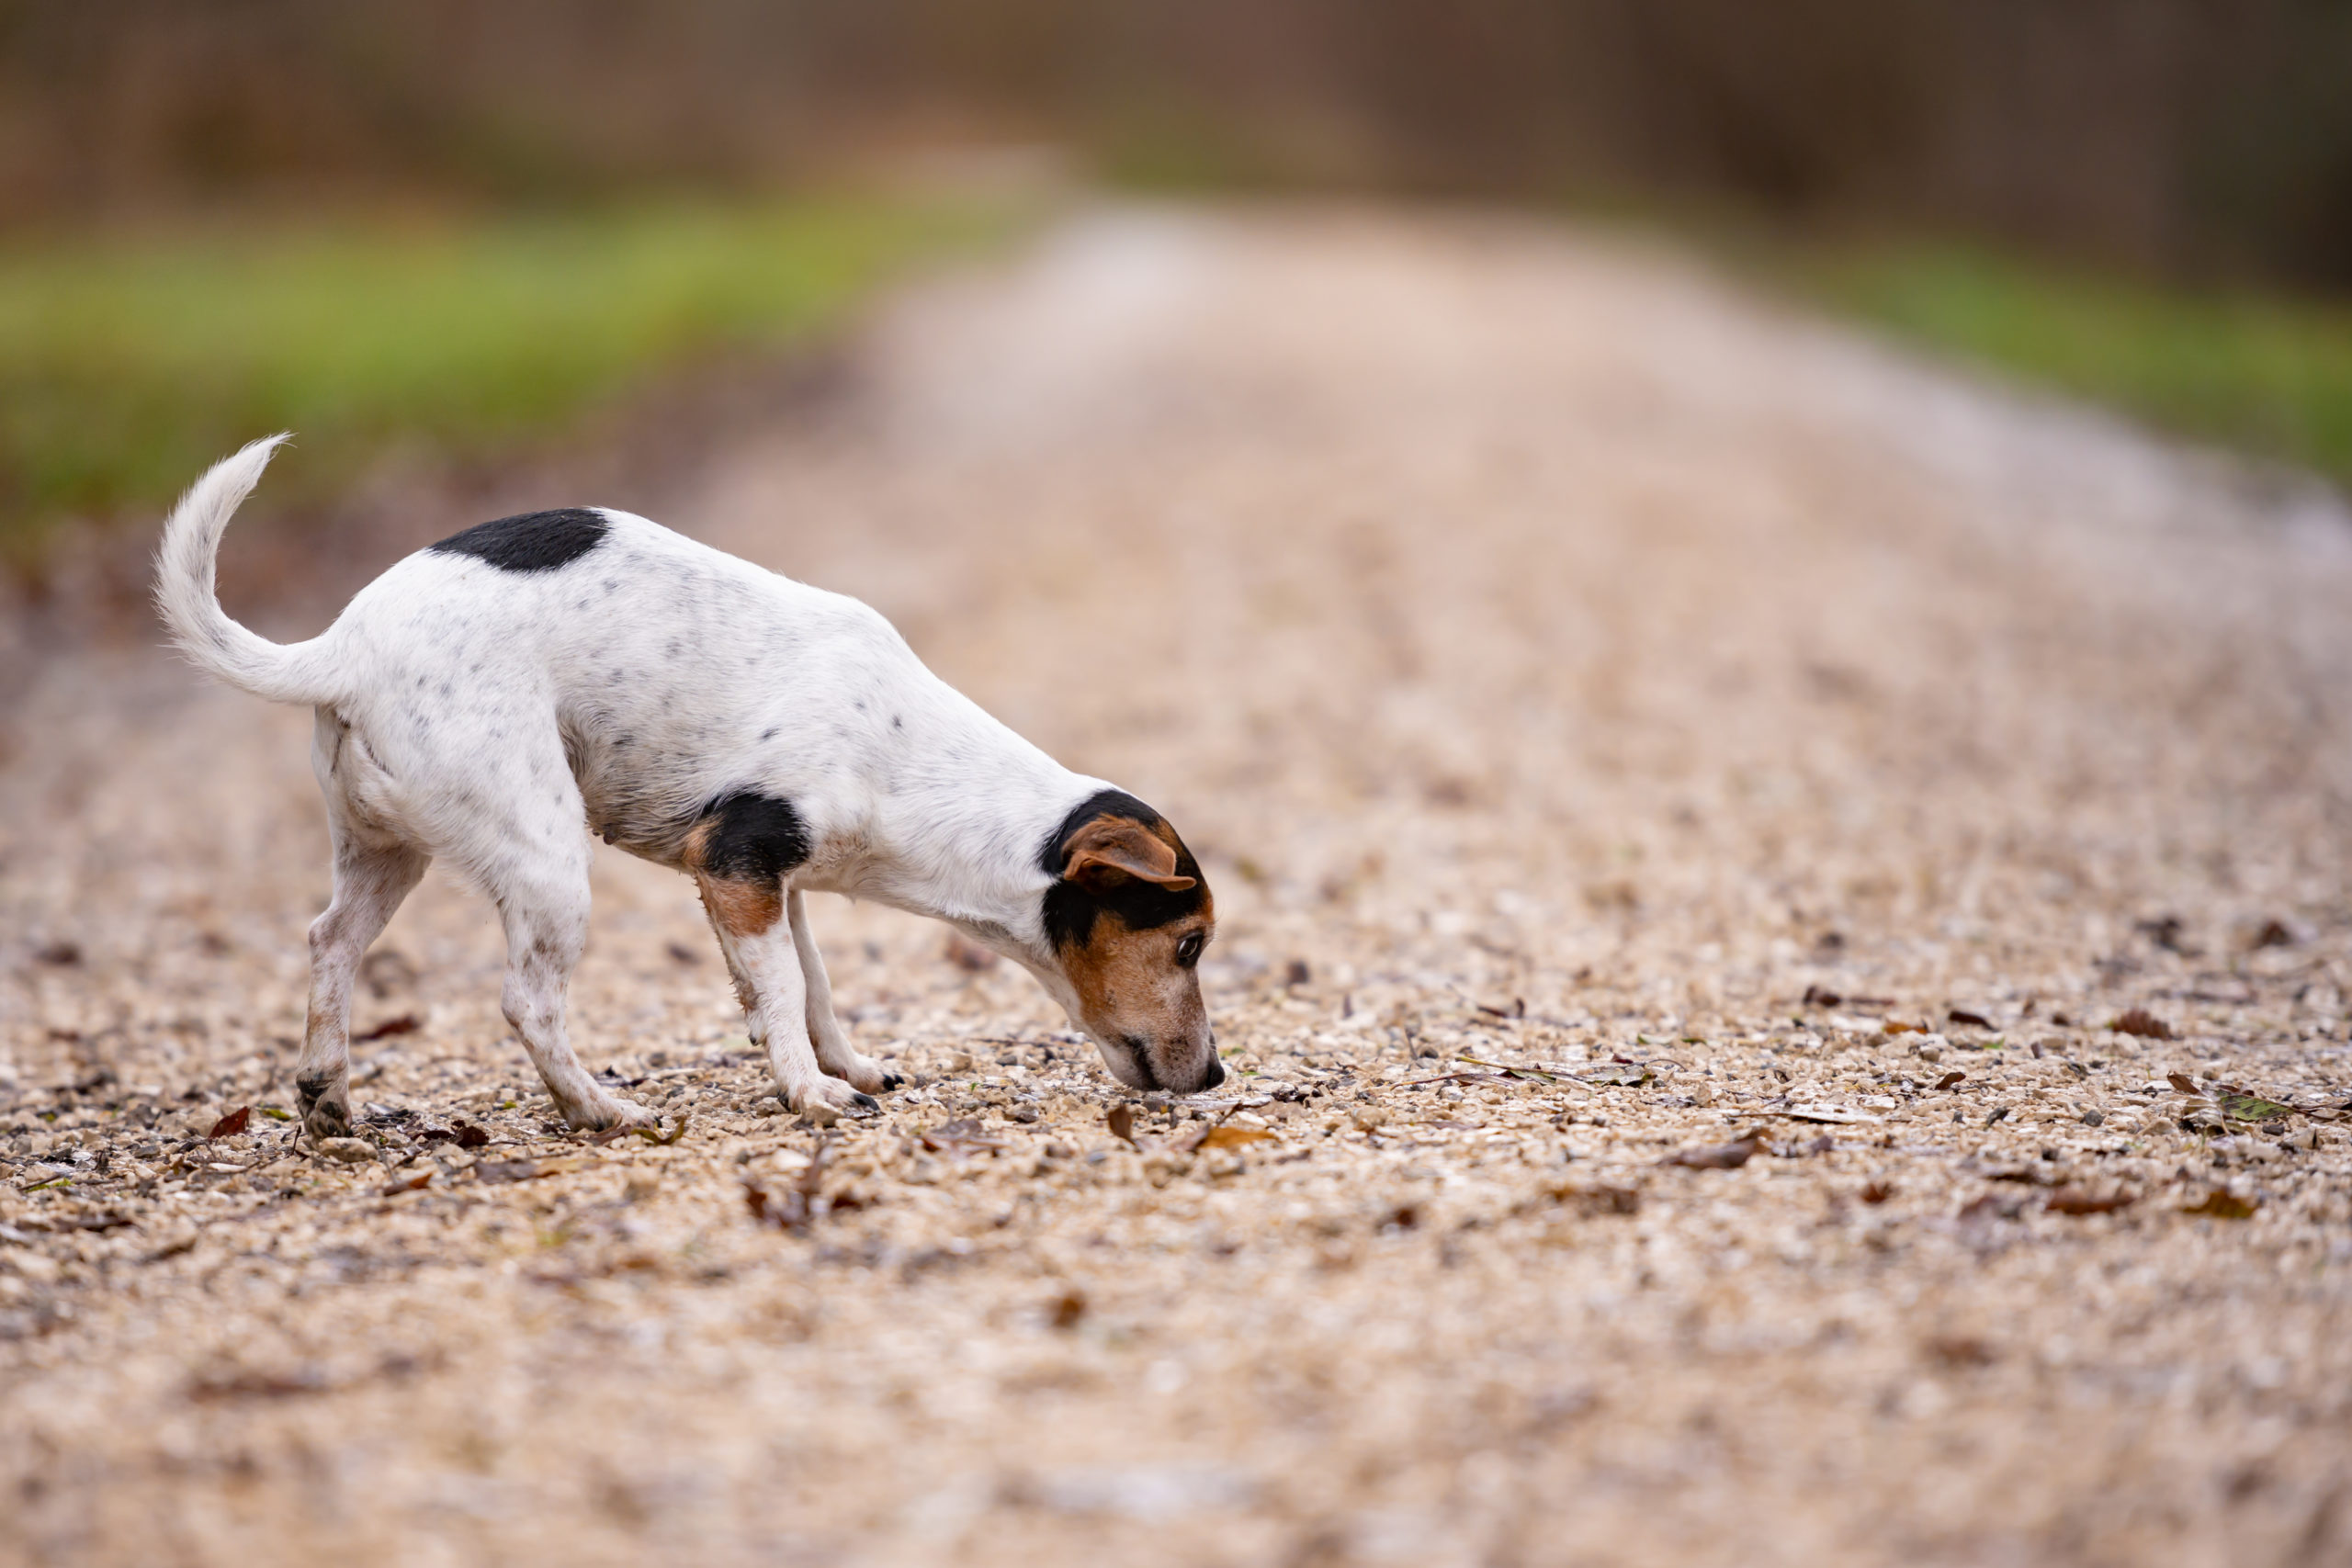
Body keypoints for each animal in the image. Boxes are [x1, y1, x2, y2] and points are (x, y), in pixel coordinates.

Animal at [156, 442, 1223, 1142]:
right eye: (1189, 944)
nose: (1214, 1073)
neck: (911, 759)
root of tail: (340, 648)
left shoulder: (775, 888)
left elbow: (810, 986)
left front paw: (842, 1065)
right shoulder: (738, 860)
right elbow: (785, 991)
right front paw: (809, 1092)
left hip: (386, 852)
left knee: (329, 943)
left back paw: (328, 1097)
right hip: (544, 858)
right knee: (526, 1002)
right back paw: (598, 1110)